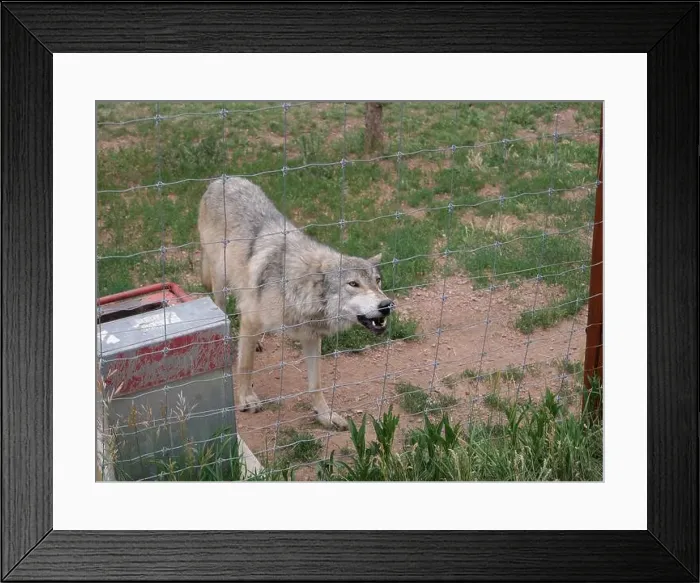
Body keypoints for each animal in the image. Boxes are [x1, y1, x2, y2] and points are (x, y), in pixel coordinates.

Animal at [198, 177, 395, 430]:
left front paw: (325, 415)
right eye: (353, 284)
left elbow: (316, 383)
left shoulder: (311, 337)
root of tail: (221, 179)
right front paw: (246, 398)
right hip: (220, 281)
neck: (296, 289)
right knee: (223, 309)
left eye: (377, 281)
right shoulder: (252, 319)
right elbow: (246, 365)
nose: (386, 305)